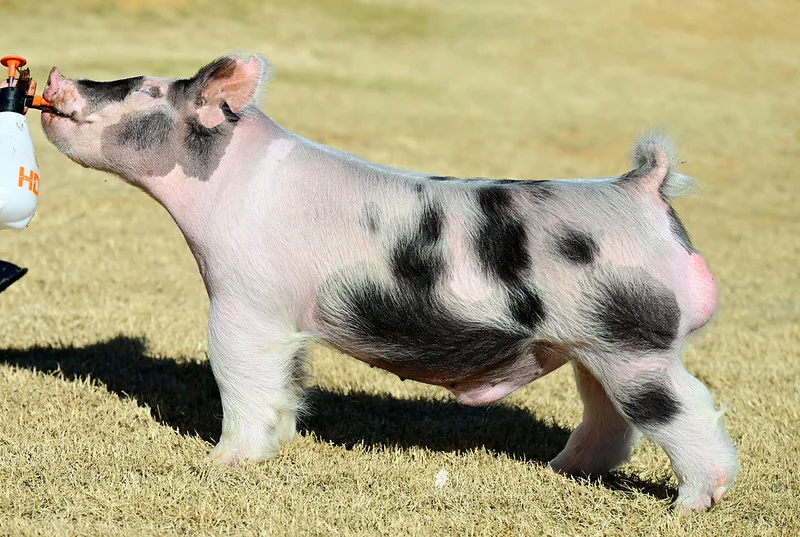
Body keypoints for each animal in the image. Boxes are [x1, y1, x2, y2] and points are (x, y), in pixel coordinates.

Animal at [39, 53, 737, 511]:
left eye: (143, 88)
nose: (51, 75)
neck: (226, 186)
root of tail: (642, 189)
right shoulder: (287, 323)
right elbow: (286, 383)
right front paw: (279, 441)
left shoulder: (246, 302)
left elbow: (239, 375)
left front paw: (223, 462)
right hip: (594, 346)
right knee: (611, 420)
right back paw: (562, 469)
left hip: (635, 343)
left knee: (685, 409)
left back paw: (692, 505)